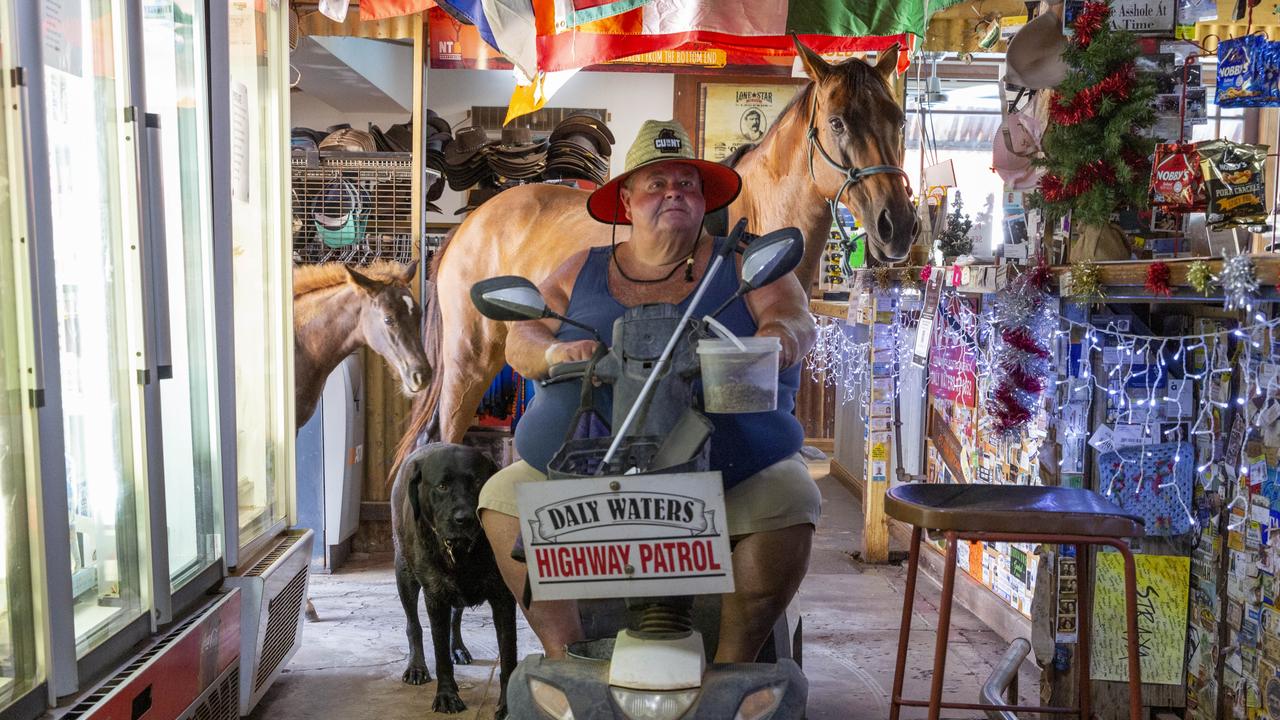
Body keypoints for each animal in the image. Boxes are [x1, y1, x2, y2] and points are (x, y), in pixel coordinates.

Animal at [391, 443, 517, 712]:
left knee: (455, 619)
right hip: (404, 574)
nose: (464, 518)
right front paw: (447, 695)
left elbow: (508, 654)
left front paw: (507, 705)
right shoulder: (436, 597)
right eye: (442, 486)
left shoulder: (503, 598)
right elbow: (440, 655)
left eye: (478, 482)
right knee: (413, 625)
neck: (460, 550)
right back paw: (416, 667)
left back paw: (458, 648)